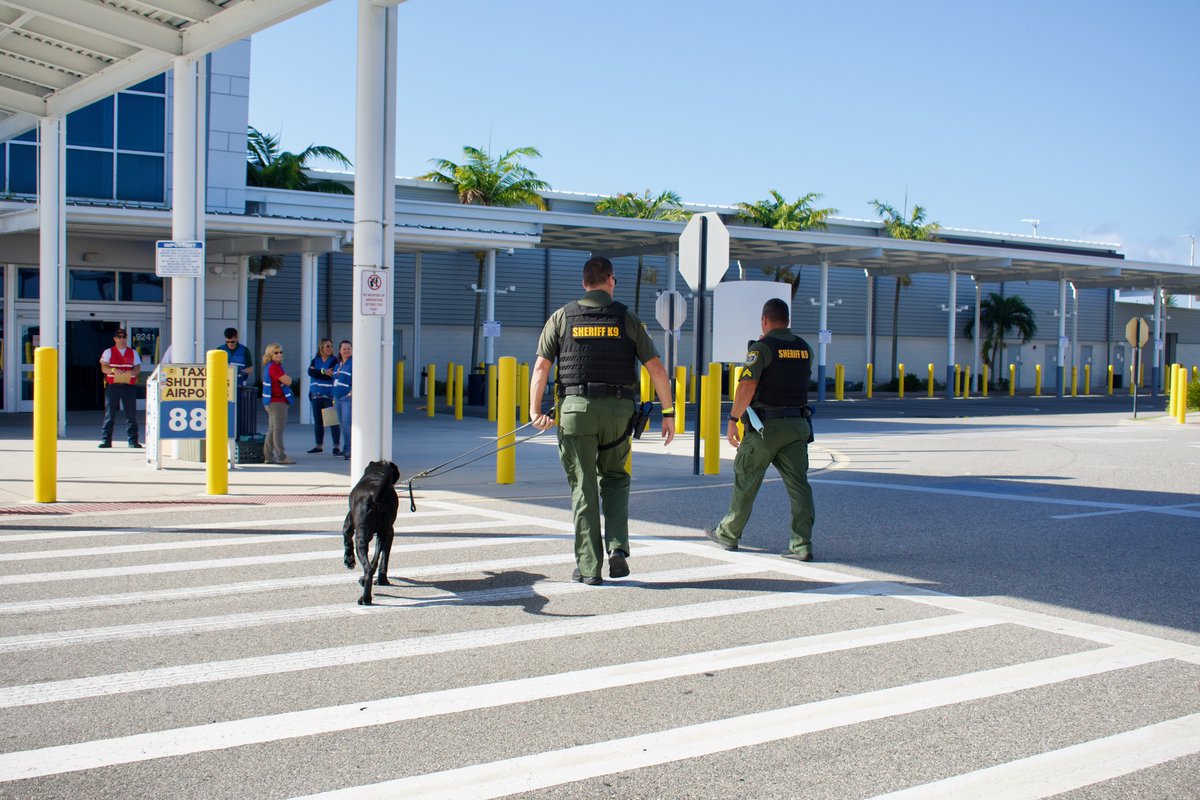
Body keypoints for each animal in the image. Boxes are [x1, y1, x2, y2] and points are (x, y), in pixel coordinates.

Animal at [343, 460, 403, 604]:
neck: (377, 472)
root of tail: (375, 496)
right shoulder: (390, 532)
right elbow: (384, 557)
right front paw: (382, 580)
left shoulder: (349, 520)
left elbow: (346, 533)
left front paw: (349, 560)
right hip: (383, 533)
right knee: (374, 561)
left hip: (361, 536)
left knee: (368, 568)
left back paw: (365, 598)